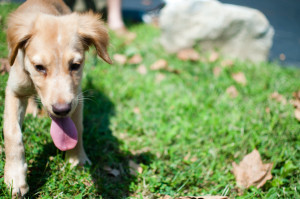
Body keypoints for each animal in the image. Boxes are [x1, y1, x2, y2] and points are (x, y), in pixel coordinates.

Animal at [3, 0, 111, 196]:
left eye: (75, 65)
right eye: (39, 67)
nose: (62, 110)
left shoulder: (77, 97)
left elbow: (77, 127)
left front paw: (77, 159)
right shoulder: (14, 91)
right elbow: (12, 132)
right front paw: (15, 178)